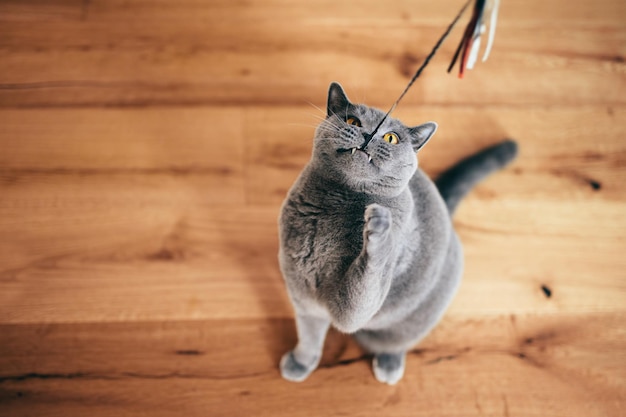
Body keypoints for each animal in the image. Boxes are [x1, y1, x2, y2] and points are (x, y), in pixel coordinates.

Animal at [278, 82, 516, 384]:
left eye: (391, 138)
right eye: (352, 121)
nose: (368, 134)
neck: (337, 202)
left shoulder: (353, 309)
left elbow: (365, 282)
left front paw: (379, 226)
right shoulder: (303, 296)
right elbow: (309, 335)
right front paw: (300, 363)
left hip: (417, 315)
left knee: (397, 340)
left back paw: (389, 365)